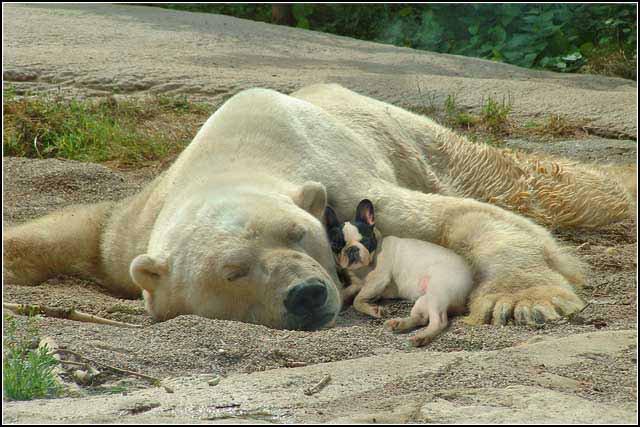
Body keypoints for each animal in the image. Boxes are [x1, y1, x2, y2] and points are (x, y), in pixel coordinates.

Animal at [2, 84, 628, 332]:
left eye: (299, 234)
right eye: (234, 271)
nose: (306, 294)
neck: (233, 157)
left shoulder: (344, 187)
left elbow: (460, 217)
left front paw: (522, 300)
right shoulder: (139, 224)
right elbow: (90, 228)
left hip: (403, 135)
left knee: (534, 184)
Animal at [322, 201, 472, 348]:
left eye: (365, 241)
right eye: (336, 245)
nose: (352, 249)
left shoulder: (378, 280)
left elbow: (357, 300)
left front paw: (372, 309)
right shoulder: (358, 284)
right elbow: (345, 293)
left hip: (437, 293)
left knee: (439, 321)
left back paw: (421, 337)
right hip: (425, 298)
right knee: (422, 318)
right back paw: (399, 324)